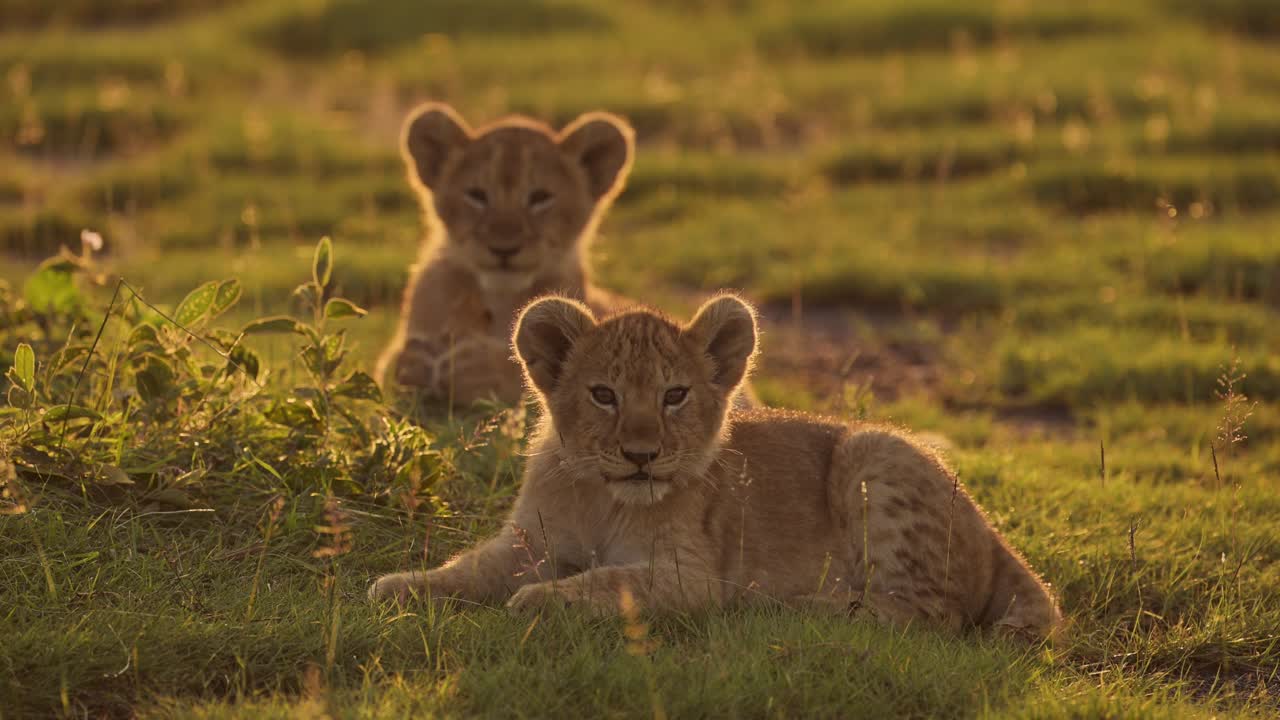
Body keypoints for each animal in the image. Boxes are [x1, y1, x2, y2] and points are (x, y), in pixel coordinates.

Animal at [370, 294, 1063, 641]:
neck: (602, 498)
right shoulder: (530, 541)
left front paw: (537, 601)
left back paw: (796, 609)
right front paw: (399, 587)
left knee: (929, 614)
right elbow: (471, 569)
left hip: (872, 451)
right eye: (604, 395)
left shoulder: (692, 577)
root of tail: (996, 537)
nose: (641, 455)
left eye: (675, 395)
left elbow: (607, 582)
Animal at [374, 102, 636, 407]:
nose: (504, 247)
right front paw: (417, 361)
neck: (498, 297)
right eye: (476, 195)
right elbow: (392, 364)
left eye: (540, 197)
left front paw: (473, 368)